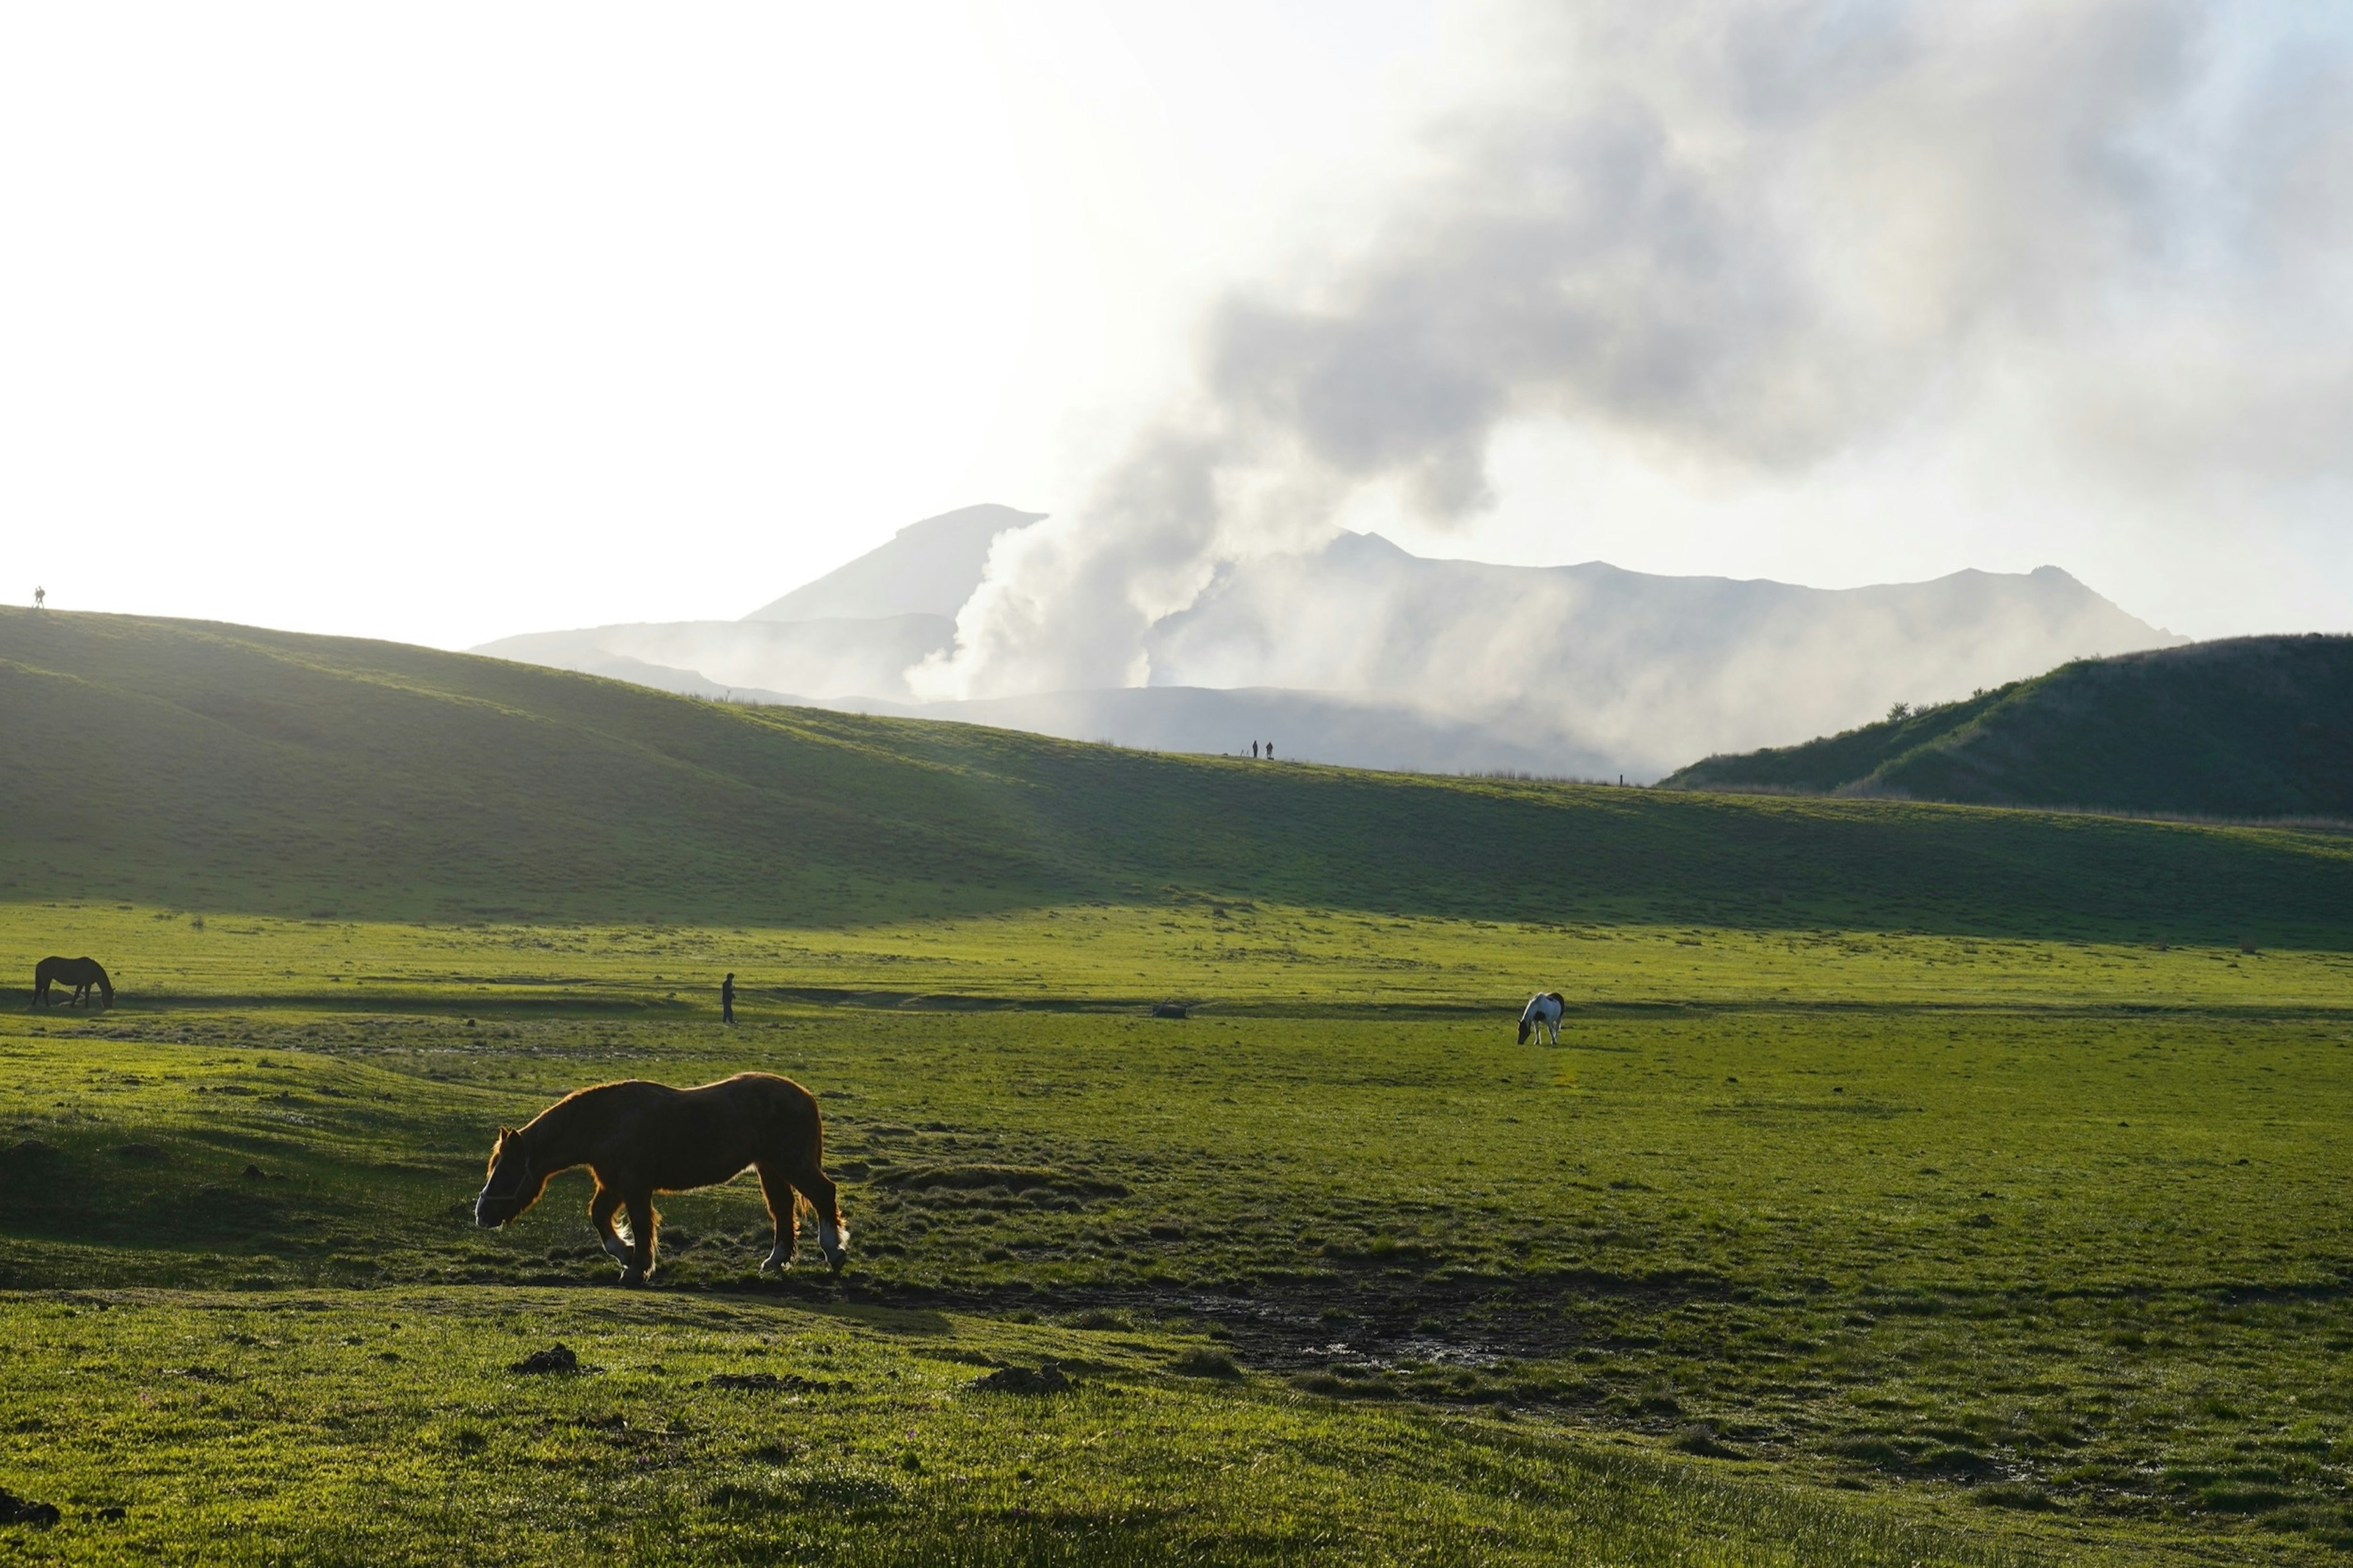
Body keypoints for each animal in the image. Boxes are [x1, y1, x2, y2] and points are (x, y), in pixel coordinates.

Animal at [31, 946, 112, 1007]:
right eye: (109, 997)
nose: (109, 1007)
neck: (93, 970)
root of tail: (40, 963)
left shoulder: (86, 984)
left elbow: (83, 994)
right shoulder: (83, 984)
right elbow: (79, 994)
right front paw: (76, 1005)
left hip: (45, 980)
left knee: (38, 991)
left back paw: (34, 1004)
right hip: (47, 980)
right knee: (44, 992)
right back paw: (48, 1005)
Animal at [472, 1074, 852, 1281]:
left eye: (505, 1171)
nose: (481, 1214)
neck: (605, 1122)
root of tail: (804, 1095)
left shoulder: (635, 1186)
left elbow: (641, 1224)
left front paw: (637, 1268)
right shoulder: (613, 1185)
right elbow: (600, 1217)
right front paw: (625, 1254)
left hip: (791, 1164)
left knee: (823, 1194)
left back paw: (834, 1251)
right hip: (770, 1168)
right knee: (783, 1210)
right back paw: (776, 1261)